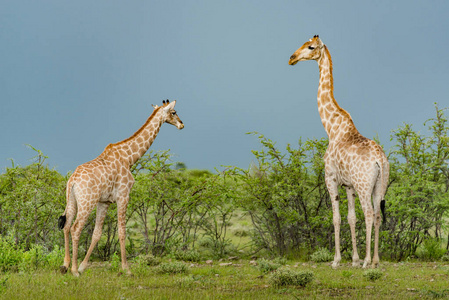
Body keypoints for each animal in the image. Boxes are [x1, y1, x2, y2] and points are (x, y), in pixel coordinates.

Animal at [58, 99, 184, 276]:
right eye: (174, 112)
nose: (182, 124)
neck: (129, 158)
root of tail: (73, 181)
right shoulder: (123, 195)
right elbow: (122, 232)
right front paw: (127, 269)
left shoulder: (104, 202)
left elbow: (97, 234)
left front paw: (84, 266)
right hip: (87, 202)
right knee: (76, 228)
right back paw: (74, 271)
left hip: (72, 201)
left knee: (67, 226)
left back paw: (65, 265)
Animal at [288, 35, 388, 270]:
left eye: (310, 47)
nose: (292, 58)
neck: (331, 128)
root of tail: (380, 160)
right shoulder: (348, 185)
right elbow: (351, 217)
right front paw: (354, 259)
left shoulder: (331, 178)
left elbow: (336, 218)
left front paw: (337, 260)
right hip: (380, 185)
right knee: (377, 215)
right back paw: (375, 260)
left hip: (364, 186)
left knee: (369, 213)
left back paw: (368, 262)